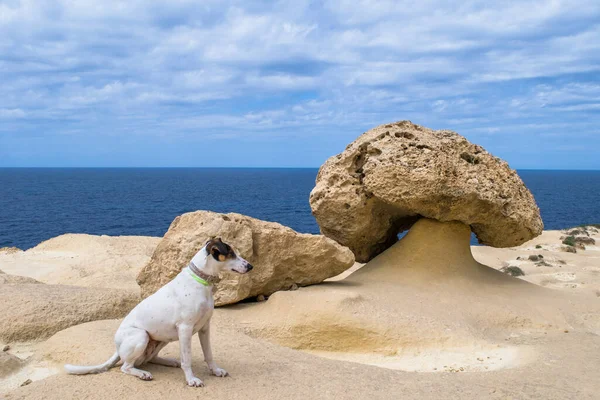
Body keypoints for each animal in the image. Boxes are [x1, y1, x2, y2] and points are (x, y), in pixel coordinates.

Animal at [64, 238, 252, 388]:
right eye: (231, 253)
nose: (250, 266)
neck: (201, 281)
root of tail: (117, 348)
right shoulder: (185, 329)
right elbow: (187, 359)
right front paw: (191, 380)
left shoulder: (205, 328)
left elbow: (209, 354)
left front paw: (216, 371)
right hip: (141, 336)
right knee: (126, 367)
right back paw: (142, 374)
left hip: (162, 339)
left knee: (149, 359)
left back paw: (169, 362)